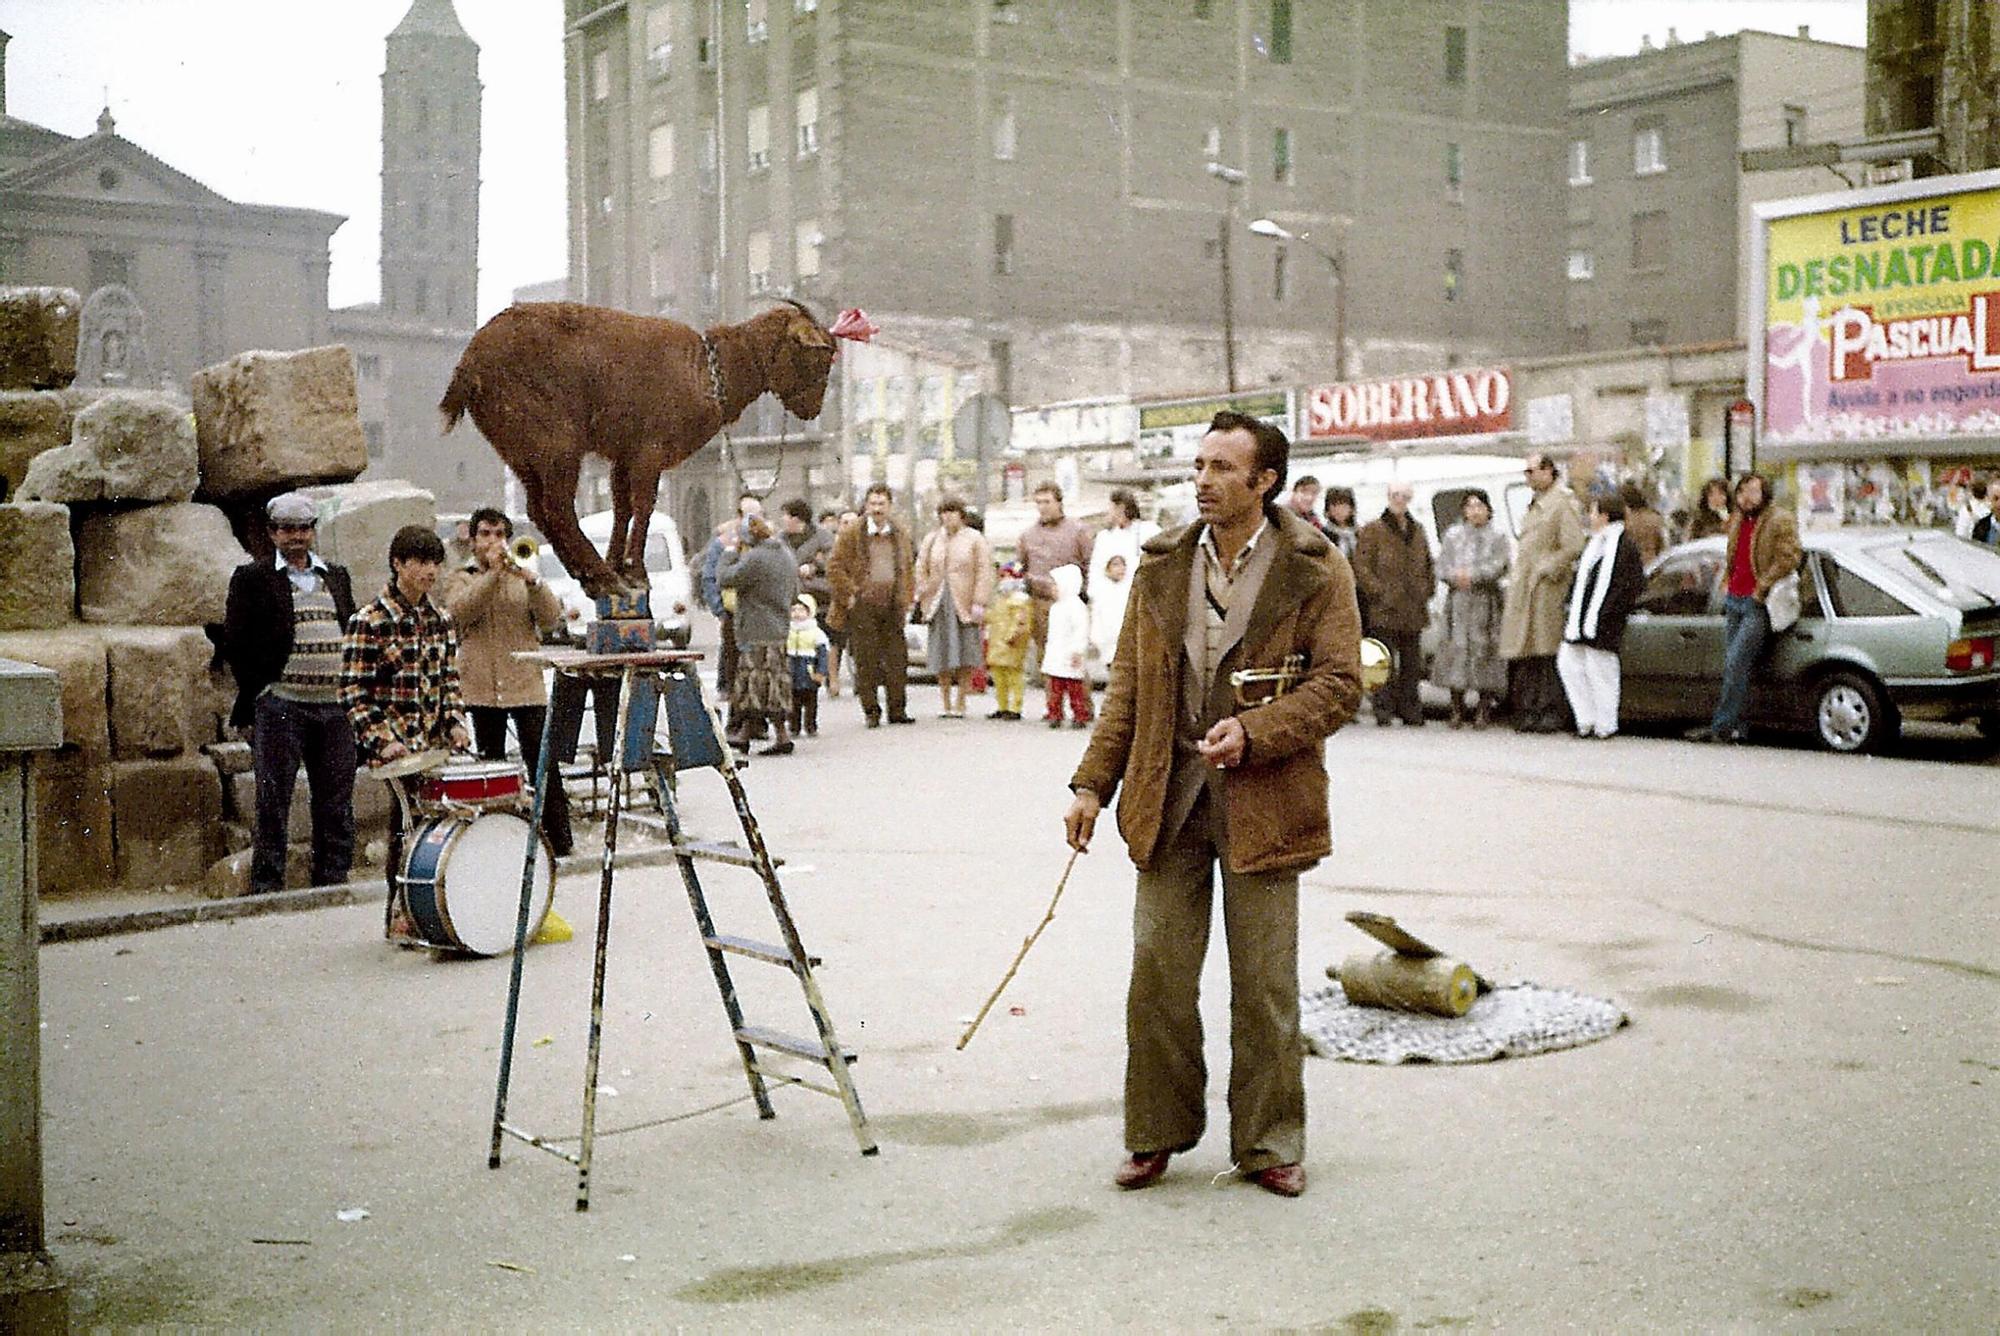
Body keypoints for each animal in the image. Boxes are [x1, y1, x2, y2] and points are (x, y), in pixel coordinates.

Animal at [442, 306, 832, 596]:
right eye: (819, 357)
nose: (813, 409)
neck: (706, 370)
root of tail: (469, 366)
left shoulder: (624, 453)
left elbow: (622, 506)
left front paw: (621, 564)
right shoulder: (650, 449)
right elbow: (644, 504)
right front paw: (636, 573)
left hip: (520, 451)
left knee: (538, 509)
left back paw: (591, 575)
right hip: (555, 442)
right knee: (557, 508)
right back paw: (601, 578)